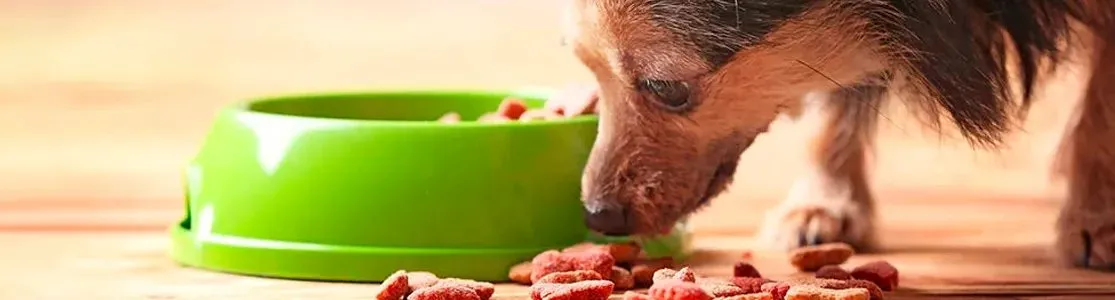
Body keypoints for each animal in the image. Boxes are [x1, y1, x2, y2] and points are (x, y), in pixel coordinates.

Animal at [561, 0, 1115, 269]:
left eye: (667, 87)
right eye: (590, 67)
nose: (597, 215)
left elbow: (1104, 99)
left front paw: (1095, 217)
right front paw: (821, 205)